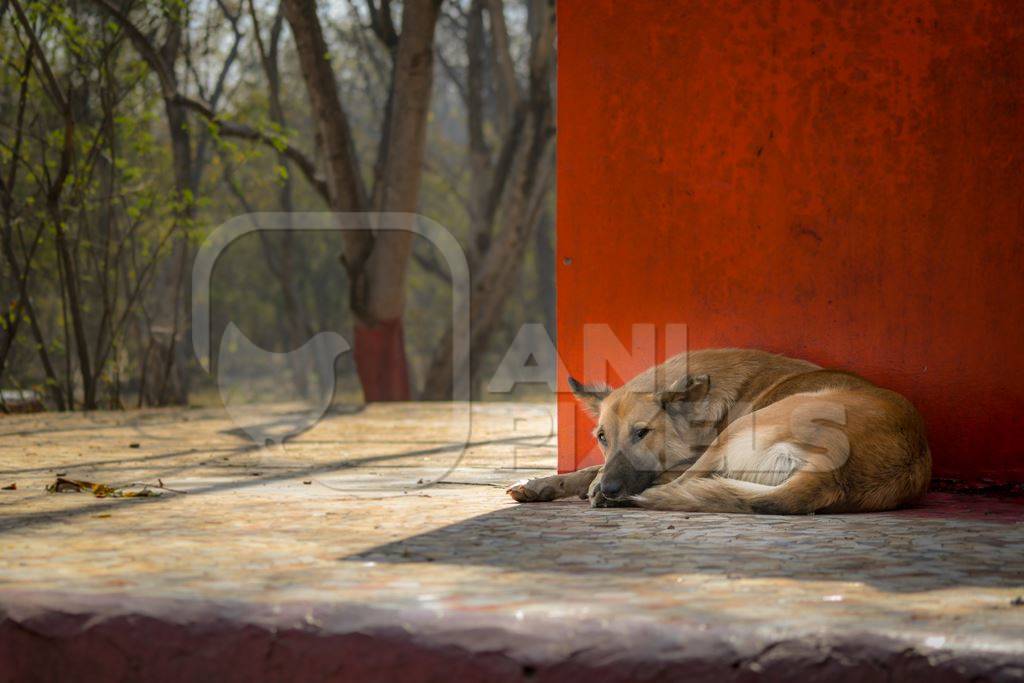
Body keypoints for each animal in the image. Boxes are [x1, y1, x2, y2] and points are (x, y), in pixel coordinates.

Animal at [507, 348, 933, 511]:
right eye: (601, 438)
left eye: (642, 433)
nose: (612, 489)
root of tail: (834, 474)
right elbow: (589, 467)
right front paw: (540, 485)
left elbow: (598, 471)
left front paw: (591, 487)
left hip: (748, 425)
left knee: (682, 482)